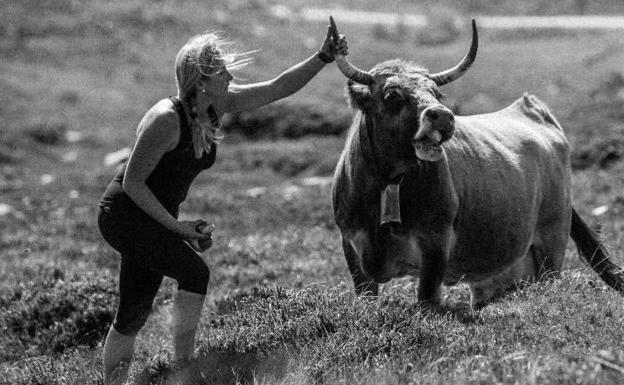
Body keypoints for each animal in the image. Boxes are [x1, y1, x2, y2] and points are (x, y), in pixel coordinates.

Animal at [330, 17, 620, 306]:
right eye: (391, 95)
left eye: (437, 93)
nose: (442, 116)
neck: (388, 182)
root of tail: (533, 110)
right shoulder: (352, 247)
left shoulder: (436, 244)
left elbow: (427, 300)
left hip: (552, 247)